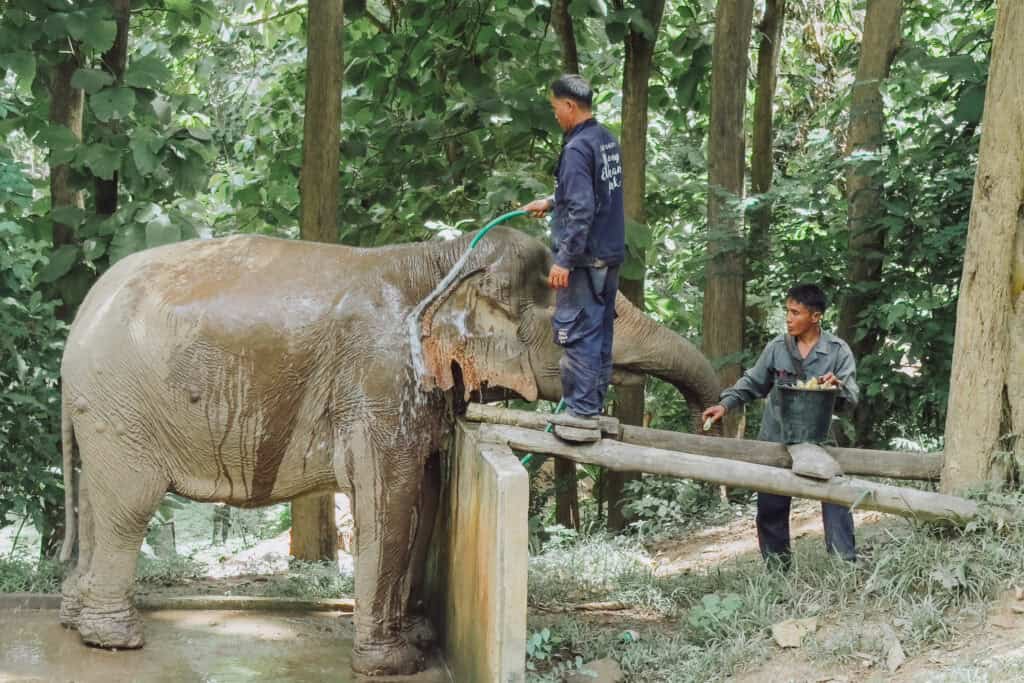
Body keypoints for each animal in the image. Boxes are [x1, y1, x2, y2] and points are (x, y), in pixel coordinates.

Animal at [57, 226, 721, 675]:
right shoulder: (379, 379)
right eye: (580, 325)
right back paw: (116, 641)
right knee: (128, 507)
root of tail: (79, 319)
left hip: (104, 415)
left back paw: (72, 621)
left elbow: (424, 493)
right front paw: (393, 664)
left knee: (94, 501)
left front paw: (420, 638)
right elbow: (389, 496)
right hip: (123, 406)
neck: (446, 257)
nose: (710, 418)